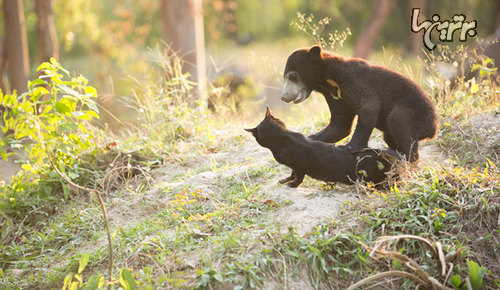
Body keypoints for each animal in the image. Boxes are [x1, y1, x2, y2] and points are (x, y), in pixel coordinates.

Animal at [246, 106, 398, 188]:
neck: (283, 137)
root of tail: (375, 152)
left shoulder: (299, 166)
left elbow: (298, 176)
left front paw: (293, 184)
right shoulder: (293, 166)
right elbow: (292, 173)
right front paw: (286, 179)